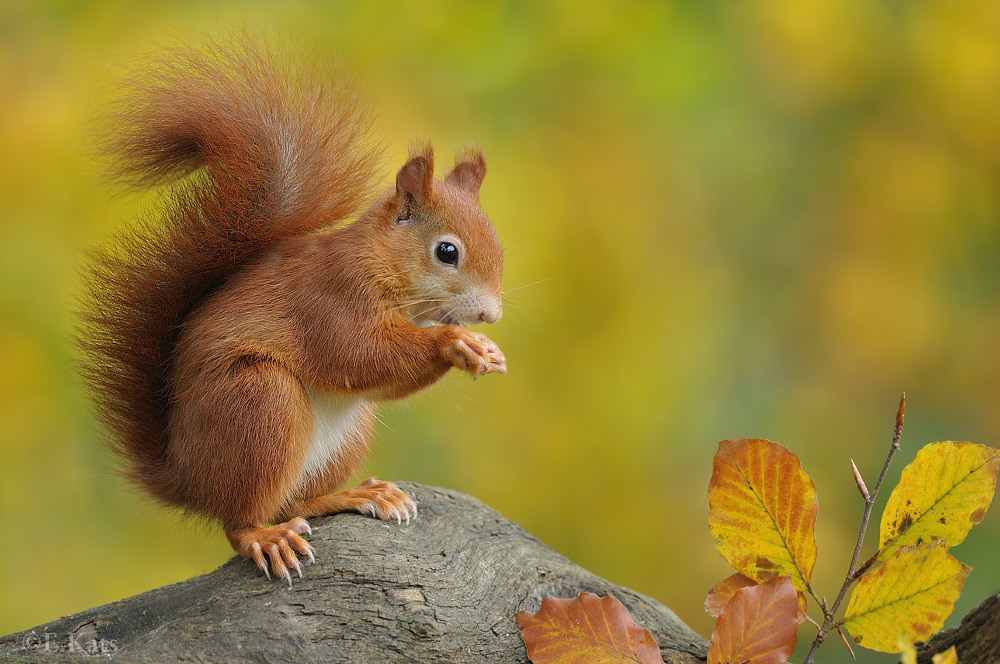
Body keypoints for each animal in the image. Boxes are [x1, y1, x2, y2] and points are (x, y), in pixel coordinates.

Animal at [78, 37, 504, 588]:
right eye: (447, 252)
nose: (491, 316)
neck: (382, 264)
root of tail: (186, 478)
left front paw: (484, 349)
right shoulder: (330, 298)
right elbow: (359, 355)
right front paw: (456, 342)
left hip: (343, 433)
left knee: (293, 502)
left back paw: (358, 494)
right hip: (259, 404)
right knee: (242, 518)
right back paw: (266, 539)